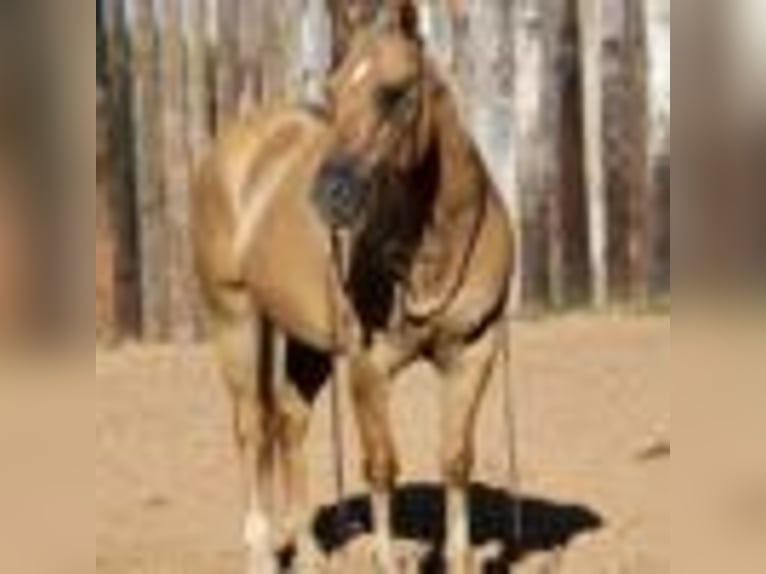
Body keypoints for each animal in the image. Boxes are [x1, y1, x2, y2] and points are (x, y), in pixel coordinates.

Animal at [191, 2, 516, 572]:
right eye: (333, 90)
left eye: (397, 91)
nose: (330, 195)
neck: (435, 244)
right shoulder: (369, 366)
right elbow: (381, 465)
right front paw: (385, 561)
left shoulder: (473, 352)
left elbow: (456, 459)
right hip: (235, 318)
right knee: (252, 428)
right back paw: (261, 553)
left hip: (308, 341)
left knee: (290, 423)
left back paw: (311, 556)